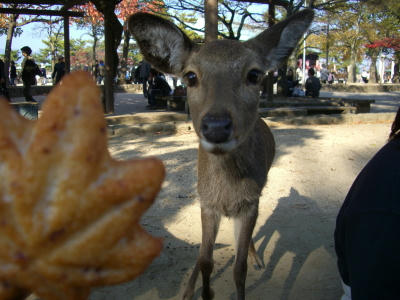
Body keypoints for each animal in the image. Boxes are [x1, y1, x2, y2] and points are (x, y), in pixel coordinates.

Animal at [130, 8, 314, 298]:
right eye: (190, 76)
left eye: (254, 74)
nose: (216, 126)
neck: (227, 193)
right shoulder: (206, 204)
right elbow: (206, 260)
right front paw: (202, 292)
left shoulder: (250, 203)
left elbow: (239, 267)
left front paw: (248, 267)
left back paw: (257, 258)